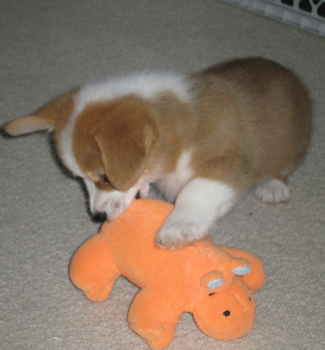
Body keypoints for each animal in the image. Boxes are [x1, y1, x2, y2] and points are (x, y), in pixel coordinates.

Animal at [3, 57, 312, 249]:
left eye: (105, 178)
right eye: (80, 179)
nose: (97, 217)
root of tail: (291, 74)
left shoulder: (225, 165)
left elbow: (195, 191)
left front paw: (178, 227)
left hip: (290, 144)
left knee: (284, 167)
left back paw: (273, 187)